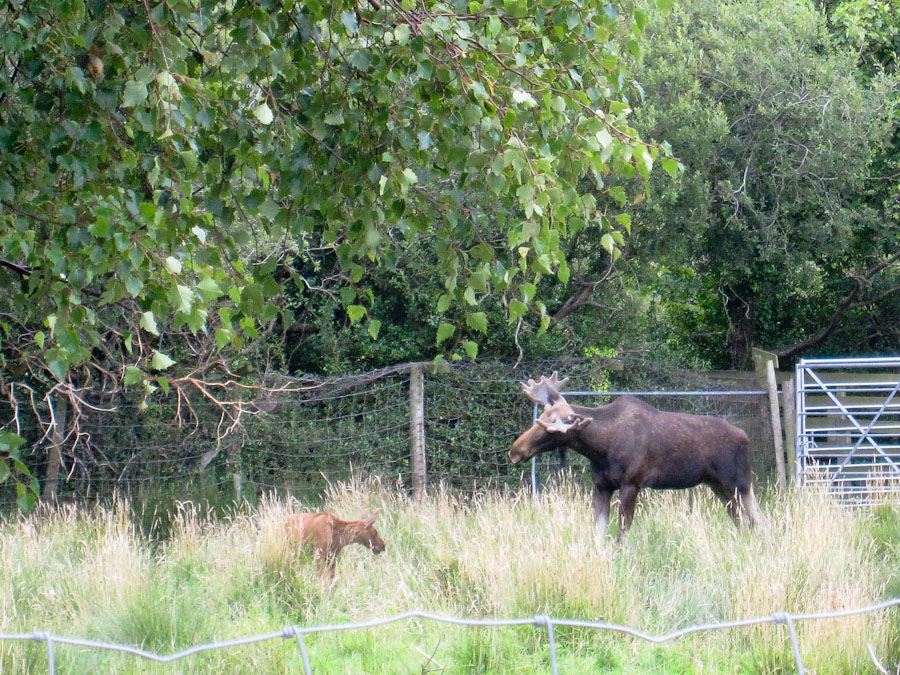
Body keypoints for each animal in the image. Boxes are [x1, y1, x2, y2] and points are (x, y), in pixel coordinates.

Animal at [509, 372, 765, 538]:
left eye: (549, 427)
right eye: (542, 416)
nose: (515, 450)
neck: (600, 449)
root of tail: (746, 437)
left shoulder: (632, 483)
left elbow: (622, 532)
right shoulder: (601, 485)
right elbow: (598, 534)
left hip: (740, 483)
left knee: (759, 520)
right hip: (717, 485)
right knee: (741, 520)